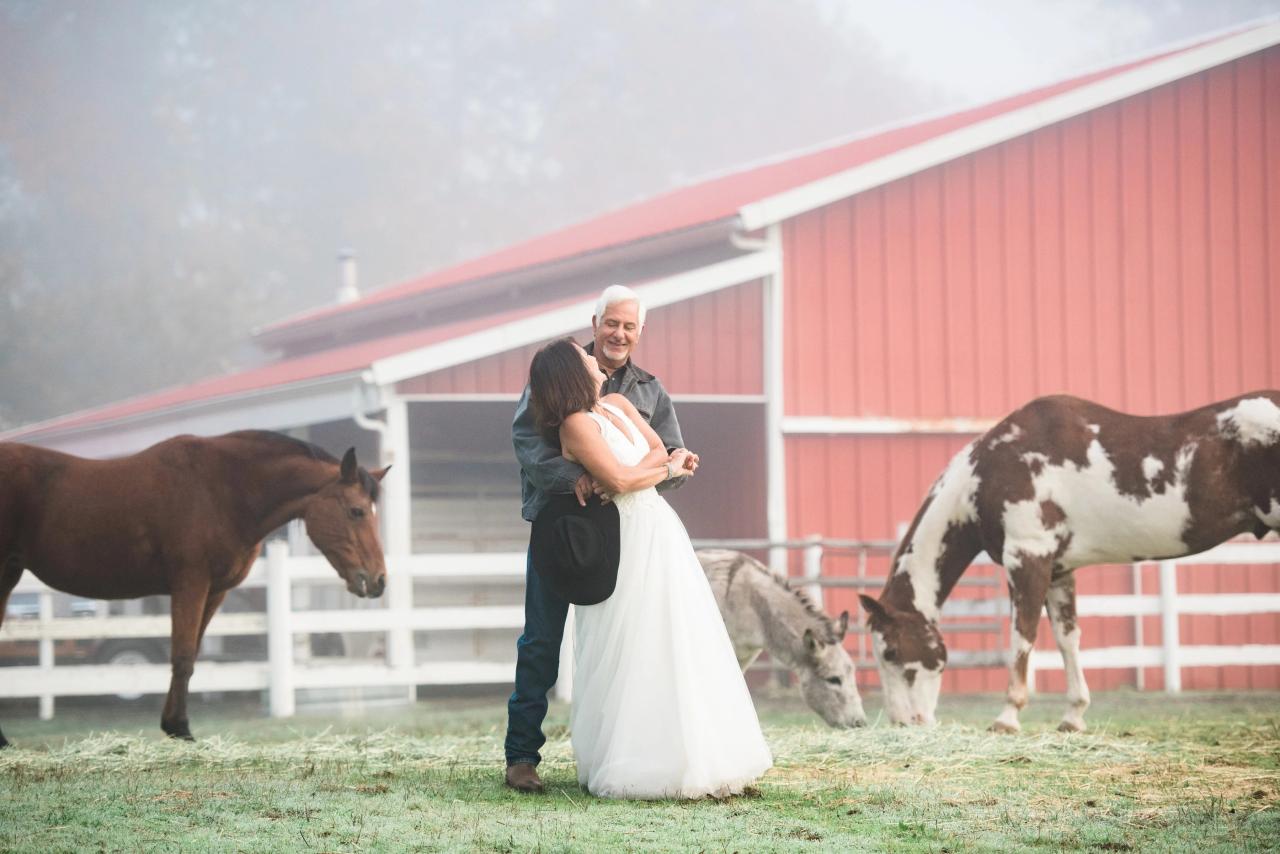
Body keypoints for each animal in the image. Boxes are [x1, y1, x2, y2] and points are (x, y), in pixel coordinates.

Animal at [0, 430, 389, 742]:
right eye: (356, 511)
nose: (378, 580)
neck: (223, 491)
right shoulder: (190, 585)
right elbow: (183, 656)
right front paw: (180, 727)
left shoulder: (215, 591)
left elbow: (192, 655)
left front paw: (173, 725)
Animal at [860, 394, 1280, 737]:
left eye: (891, 652)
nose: (902, 721)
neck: (990, 470)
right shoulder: (1059, 571)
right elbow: (1067, 639)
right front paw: (1073, 717)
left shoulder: (1027, 559)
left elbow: (1022, 637)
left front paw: (1007, 718)